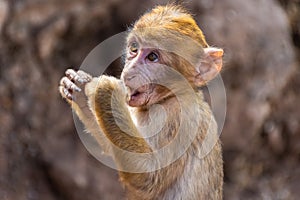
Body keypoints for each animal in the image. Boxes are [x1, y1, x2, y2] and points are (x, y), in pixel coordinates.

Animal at [58, 4, 223, 200]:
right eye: (134, 49)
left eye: (152, 57)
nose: (129, 71)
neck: (169, 96)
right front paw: (80, 90)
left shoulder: (178, 118)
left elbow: (150, 177)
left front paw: (106, 88)